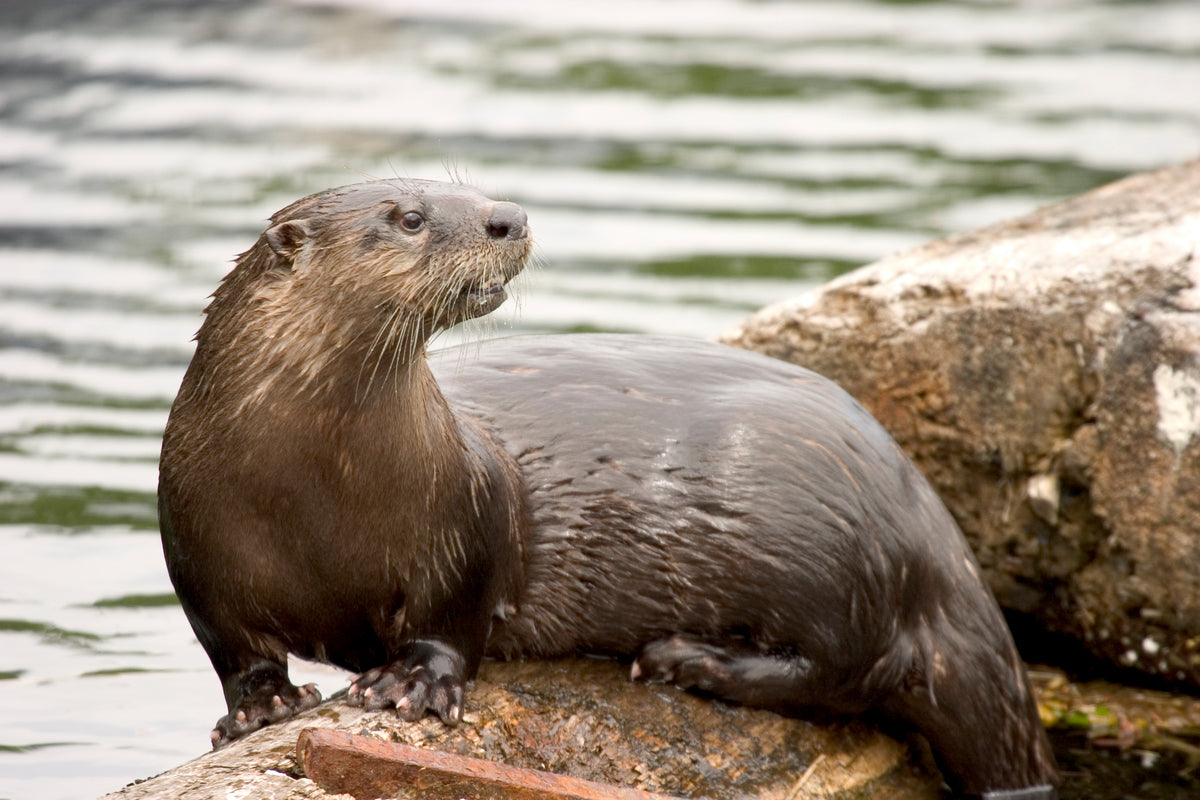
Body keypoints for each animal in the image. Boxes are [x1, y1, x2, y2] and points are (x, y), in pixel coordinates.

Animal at [157, 179, 1060, 800]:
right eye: (409, 216)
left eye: (469, 190)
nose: (508, 216)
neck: (314, 490)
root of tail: (935, 535)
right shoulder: (194, 546)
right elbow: (232, 649)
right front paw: (258, 710)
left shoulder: (472, 515)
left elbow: (456, 614)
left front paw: (413, 682)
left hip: (824, 546)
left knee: (847, 670)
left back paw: (683, 658)